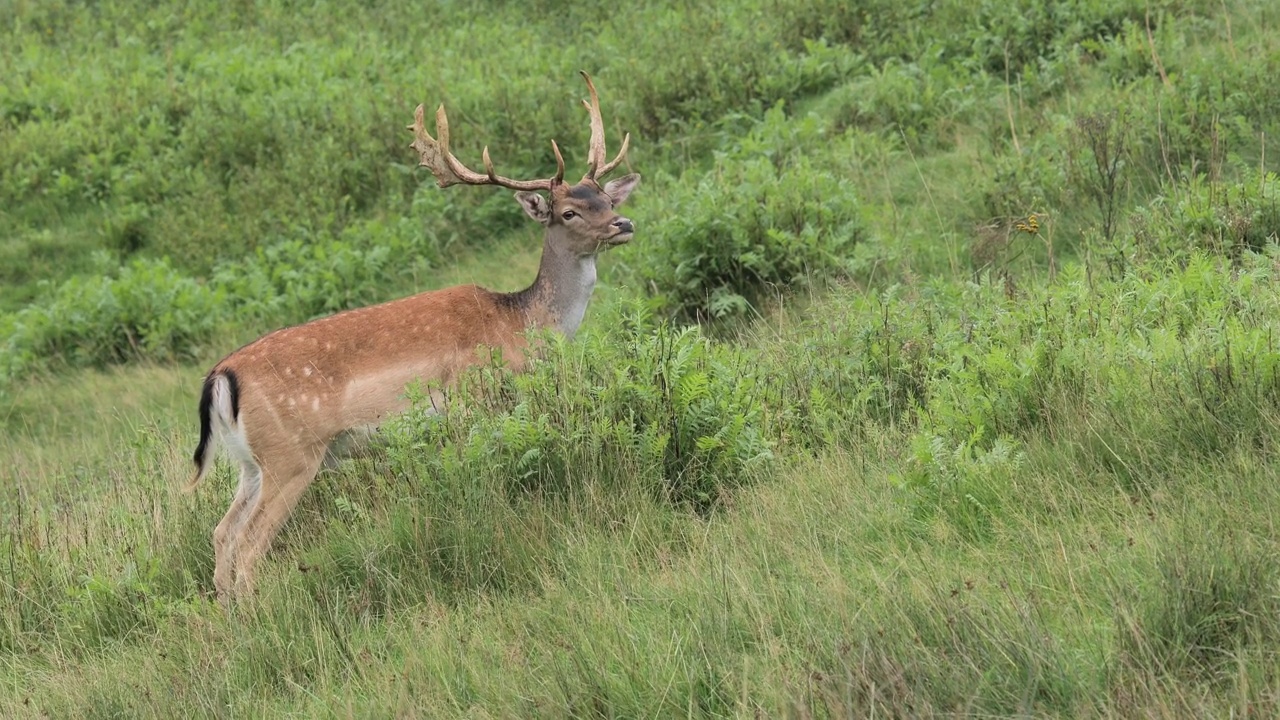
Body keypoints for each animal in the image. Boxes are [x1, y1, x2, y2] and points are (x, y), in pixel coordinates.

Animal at [186, 74, 640, 599]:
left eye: (607, 198)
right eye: (568, 212)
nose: (623, 223)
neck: (519, 325)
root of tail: (220, 376)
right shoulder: (470, 400)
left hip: (250, 463)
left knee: (222, 532)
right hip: (291, 455)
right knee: (249, 542)